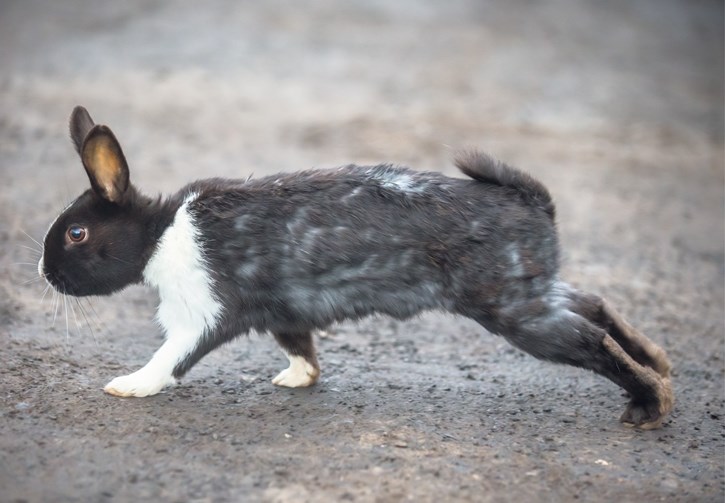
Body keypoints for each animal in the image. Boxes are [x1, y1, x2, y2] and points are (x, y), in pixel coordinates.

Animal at [38, 106, 672, 430]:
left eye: (76, 233)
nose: (44, 272)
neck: (160, 234)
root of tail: (537, 207)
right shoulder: (282, 311)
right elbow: (299, 345)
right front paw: (298, 379)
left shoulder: (203, 314)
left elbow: (171, 359)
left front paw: (128, 385)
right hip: (531, 292)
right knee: (595, 306)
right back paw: (661, 365)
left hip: (514, 310)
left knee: (589, 338)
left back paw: (648, 406)